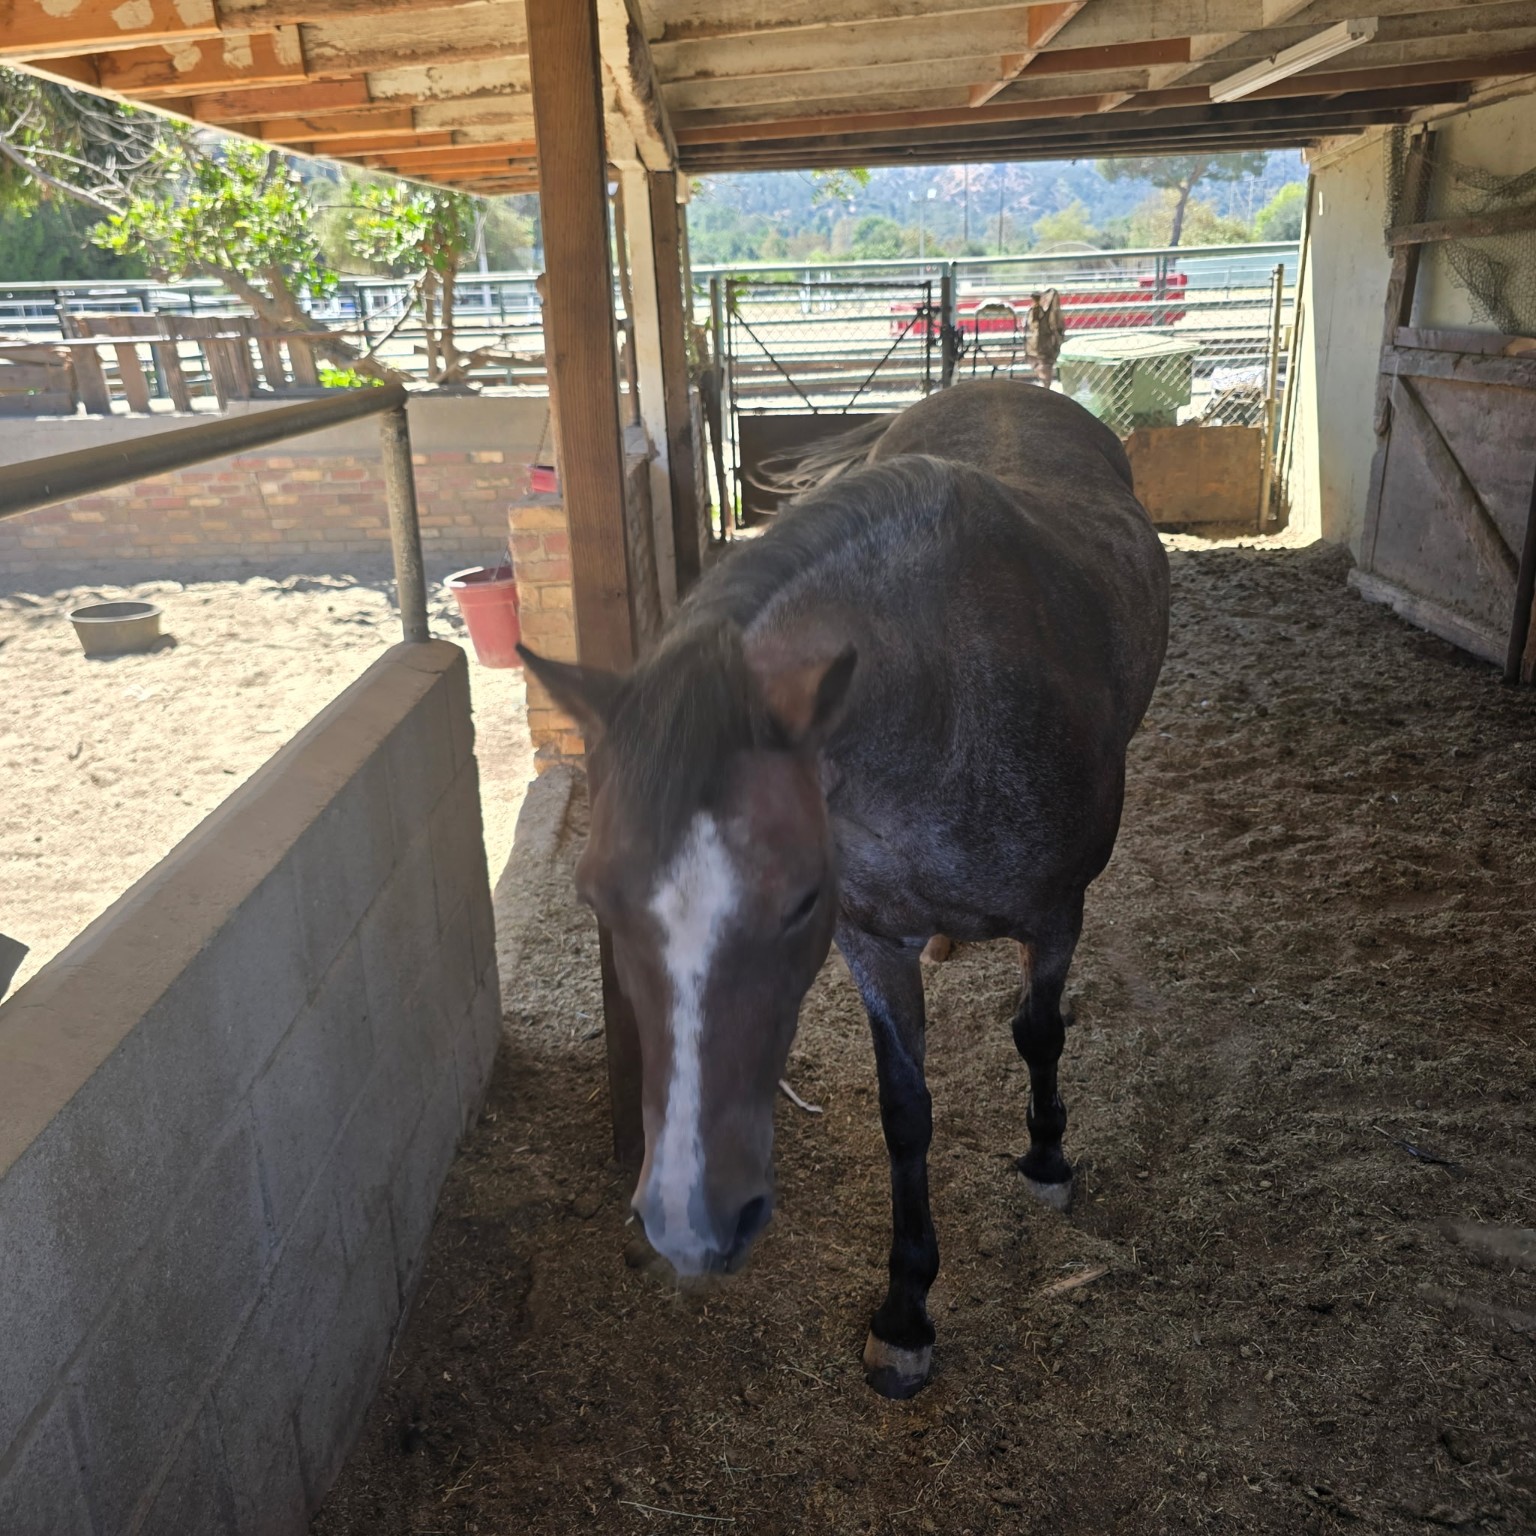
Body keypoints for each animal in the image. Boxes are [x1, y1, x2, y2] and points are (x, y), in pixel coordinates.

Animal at [520, 377, 1169, 1399]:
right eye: (596, 896)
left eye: (796, 902)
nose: (687, 1223)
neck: (951, 700)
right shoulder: (872, 940)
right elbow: (905, 1113)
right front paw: (905, 1314)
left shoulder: (1059, 915)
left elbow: (1039, 1031)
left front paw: (1047, 1158)